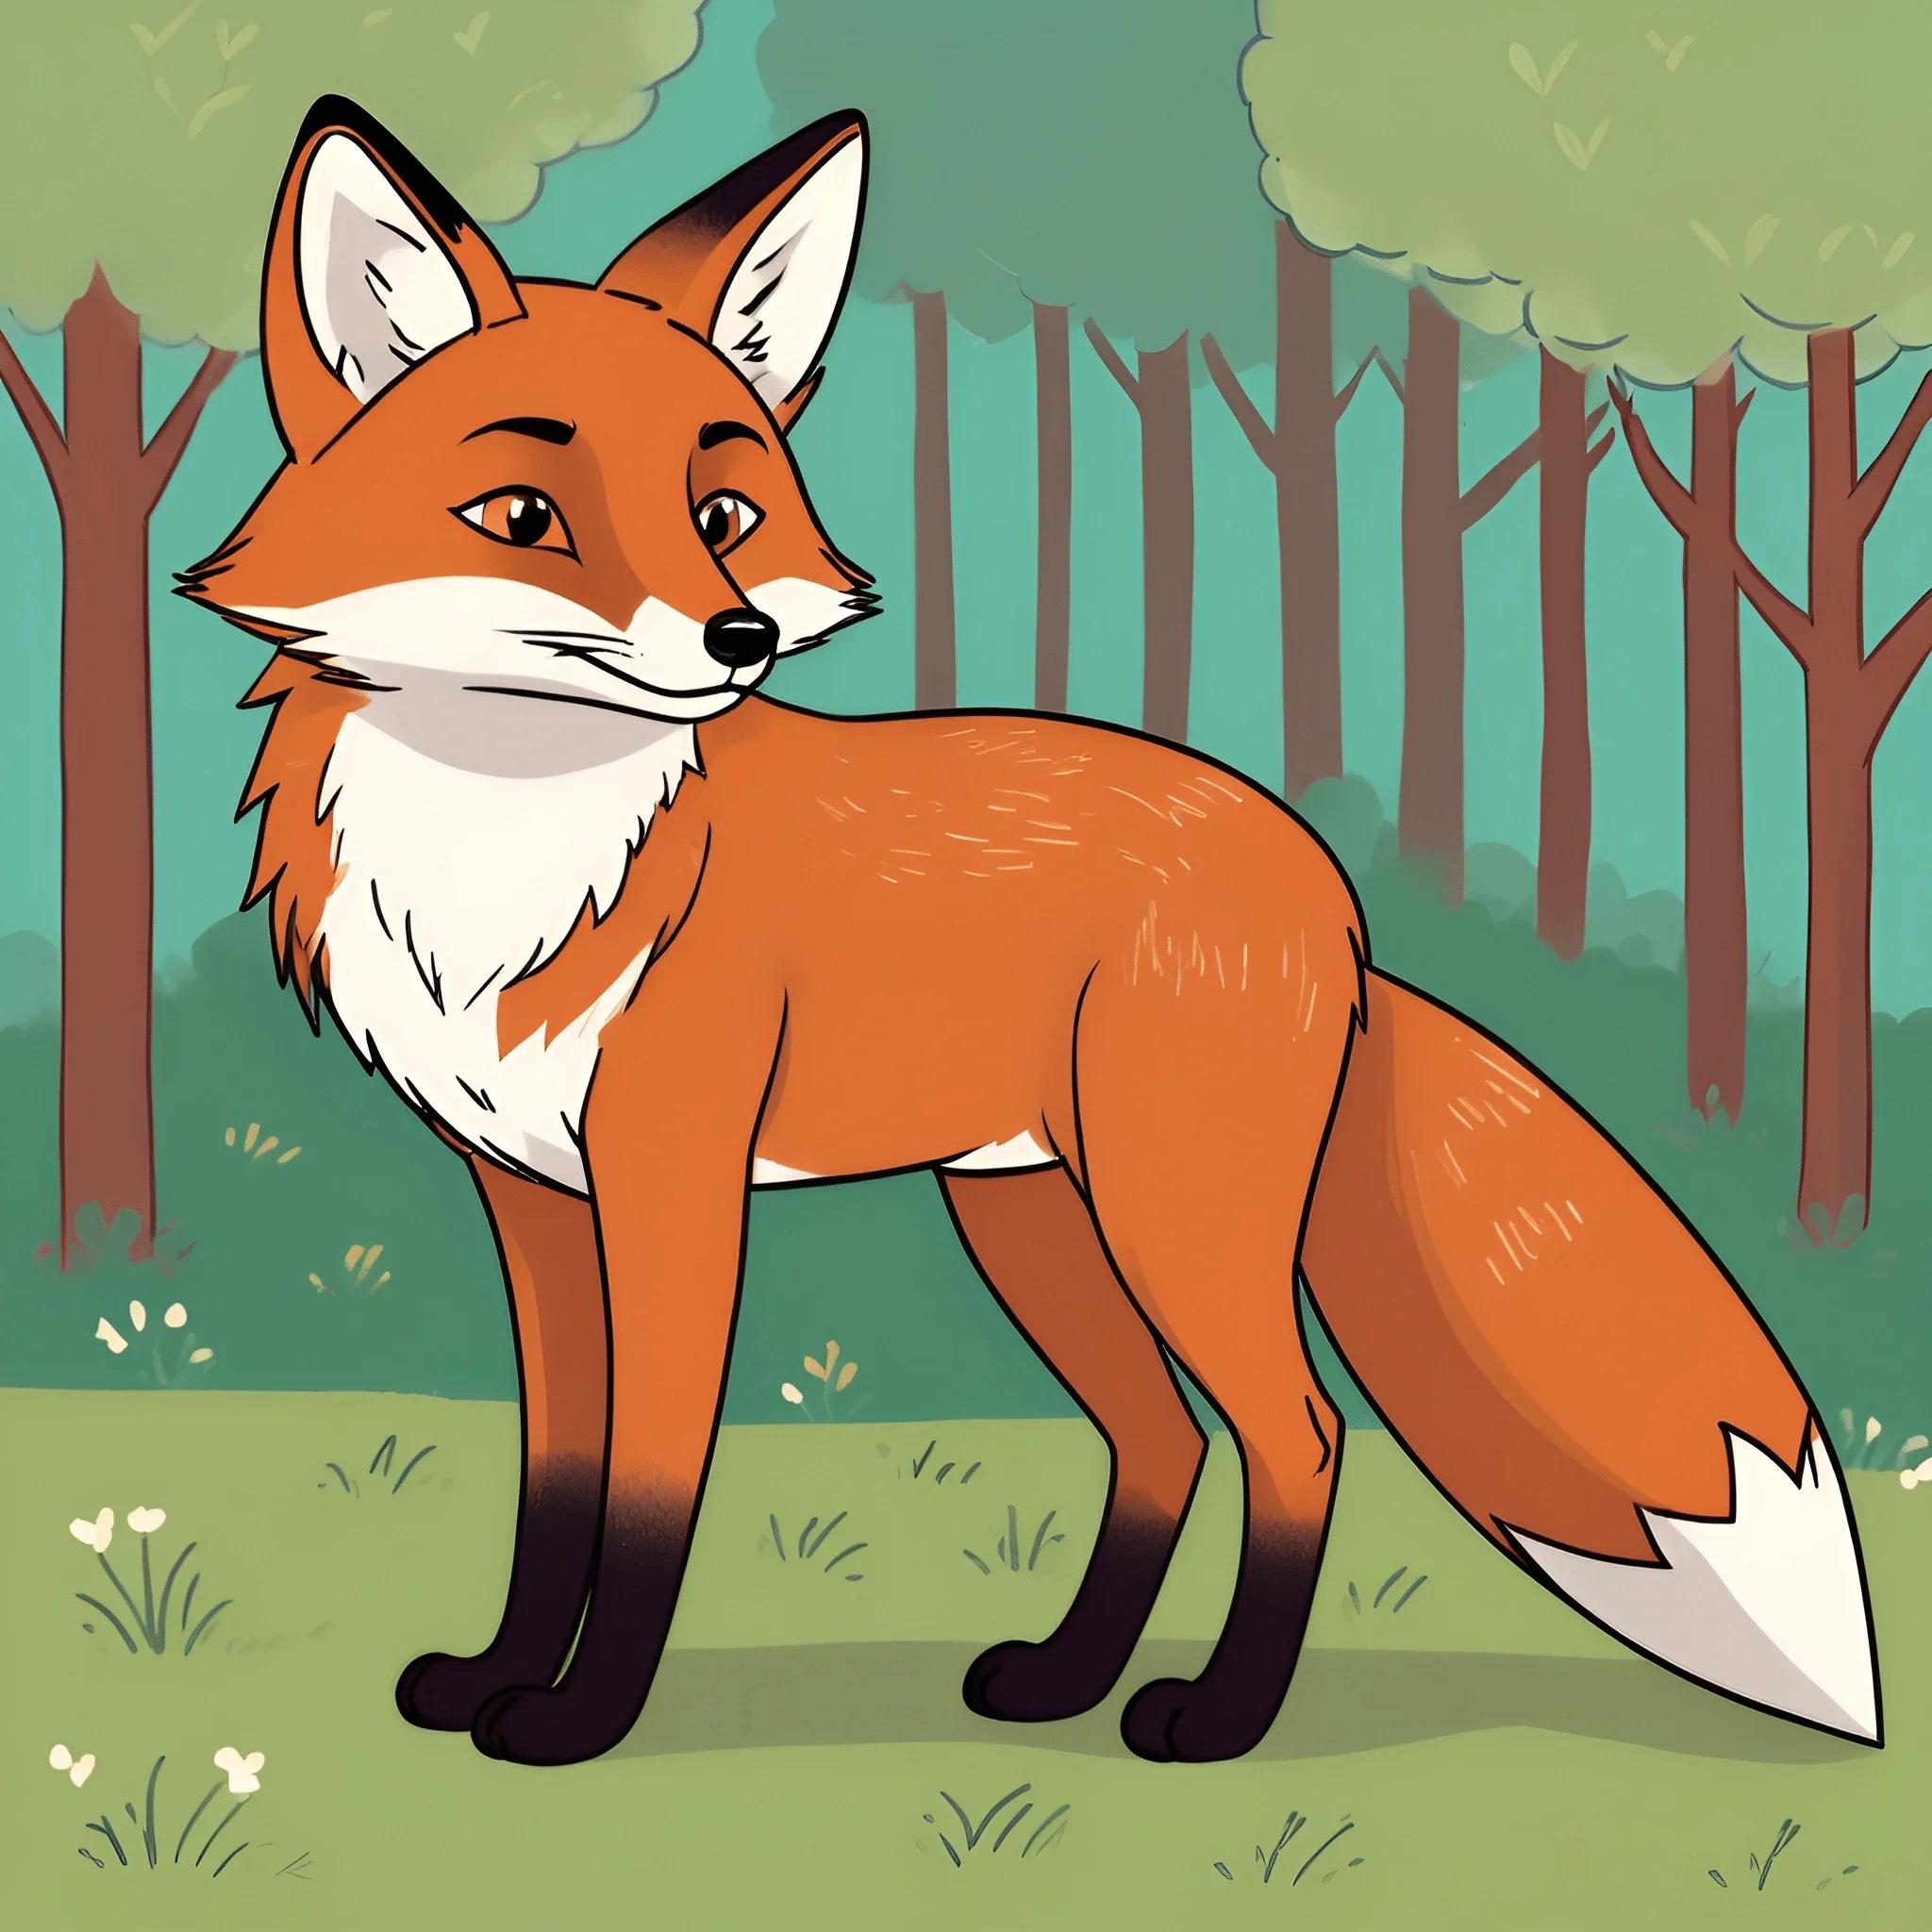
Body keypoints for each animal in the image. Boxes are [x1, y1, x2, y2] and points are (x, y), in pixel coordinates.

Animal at [179, 96, 1881, 1769]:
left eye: (722, 511)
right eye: (521, 516)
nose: (736, 636)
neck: (508, 860)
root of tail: (1333, 898)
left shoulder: (674, 1184)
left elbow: (652, 1487)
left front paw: (580, 1723)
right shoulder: (529, 1202)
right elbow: (556, 1480)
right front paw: (493, 1676)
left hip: (1170, 1214)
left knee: (1298, 1434)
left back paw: (1216, 1720)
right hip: (1031, 1216)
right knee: (1163, 1435)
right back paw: (1066, 1680)